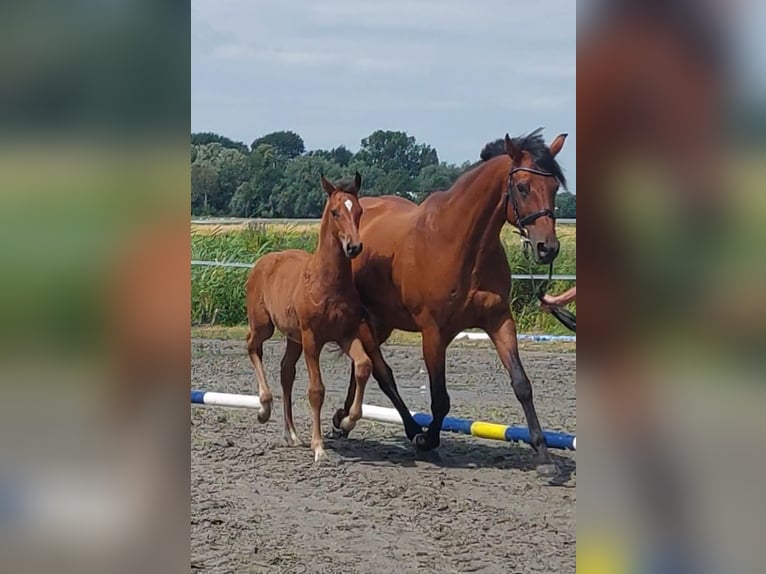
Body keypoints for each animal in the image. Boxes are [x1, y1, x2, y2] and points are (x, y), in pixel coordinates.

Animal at [246, 172, 376, 464]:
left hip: (293, 338)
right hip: (264, 326)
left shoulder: (346, 335)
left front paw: (347, 420)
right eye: (336, 212)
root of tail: (263, 261)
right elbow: (316, 390)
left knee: (286, 371)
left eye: (359, 211)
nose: (354, 246)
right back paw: (263, 408)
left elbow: (364, 366)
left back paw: (292, 434)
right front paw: (319, 447)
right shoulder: (312, 339)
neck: (326, 283)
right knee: (252, 346)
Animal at [336, 130, 568, 476]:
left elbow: (522, 384)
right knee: (382, 372)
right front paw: (428, 441)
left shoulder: (499, 321)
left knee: (362, 365)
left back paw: (343, 420)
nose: (547, 248)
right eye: (523, 186)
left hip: (382, 322)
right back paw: (410, 431)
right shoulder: (434, 333)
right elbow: (440, 399)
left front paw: (544, 456)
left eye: (554, 187)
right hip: (368, 319)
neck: (460, 242)